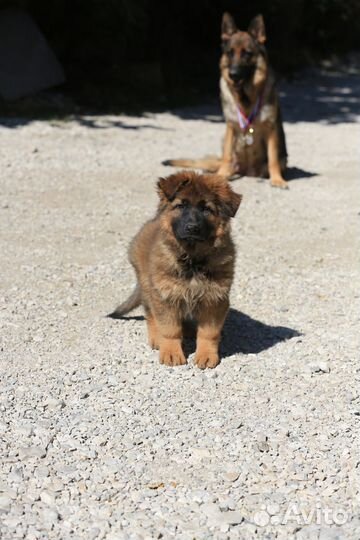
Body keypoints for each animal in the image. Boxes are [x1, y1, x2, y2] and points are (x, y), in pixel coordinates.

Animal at [108, 171, 240, 370]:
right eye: (181, 206)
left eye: (206, 209)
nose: (192, 228)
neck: (192, 258)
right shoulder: (166, 297)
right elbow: (170, 330)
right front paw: (171, 353)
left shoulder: (215, 299)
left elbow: (208, 333)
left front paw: (206, 355)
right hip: (148, 286)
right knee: (150, 314)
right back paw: (156, 337)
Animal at [165, 13, 288, 190]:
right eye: (230, 53)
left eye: (247, 53)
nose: (233, 74)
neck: (246, 97)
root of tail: (247, 171)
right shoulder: (231, 127)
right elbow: (227, 156)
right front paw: (221, 175)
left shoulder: (271, 129)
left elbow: (273, 159)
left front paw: (277, 179)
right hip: (225, 141)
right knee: (224, 162)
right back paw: (218, 173)